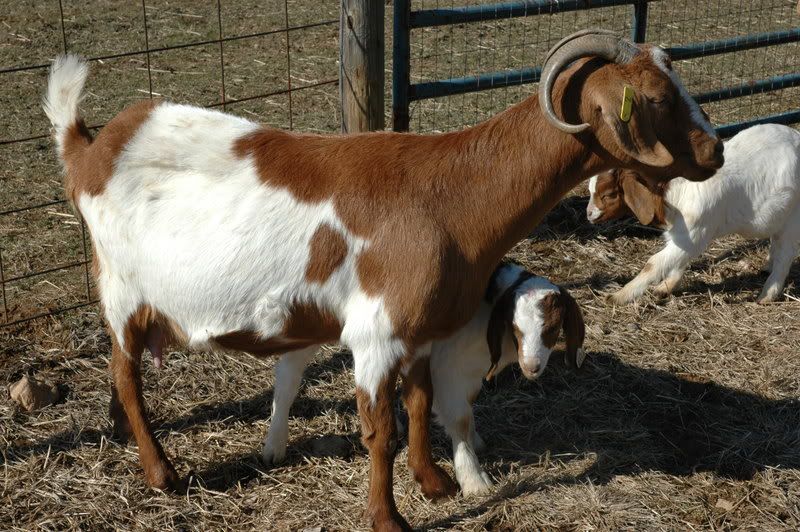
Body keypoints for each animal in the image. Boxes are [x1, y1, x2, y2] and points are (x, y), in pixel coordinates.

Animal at [261, 262, 585, 496]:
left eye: (553, 328)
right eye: (516, 327)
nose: (532, 367)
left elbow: (468, 409)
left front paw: (476, 442)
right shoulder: (448, 369)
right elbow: (459, 419)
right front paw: (474, 481)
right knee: (288, 376)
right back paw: (274, 445)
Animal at [587, 123, 800, 304]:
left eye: (608, 194)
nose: (589, 214)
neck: (675, 190)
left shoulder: (694, 231)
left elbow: (654, 264)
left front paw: (619, 296)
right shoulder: (683, 234)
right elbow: (679, 259)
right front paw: (665, 287)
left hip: (793, 217)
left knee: (786, 253)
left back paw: (767, 294)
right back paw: (767, 267)